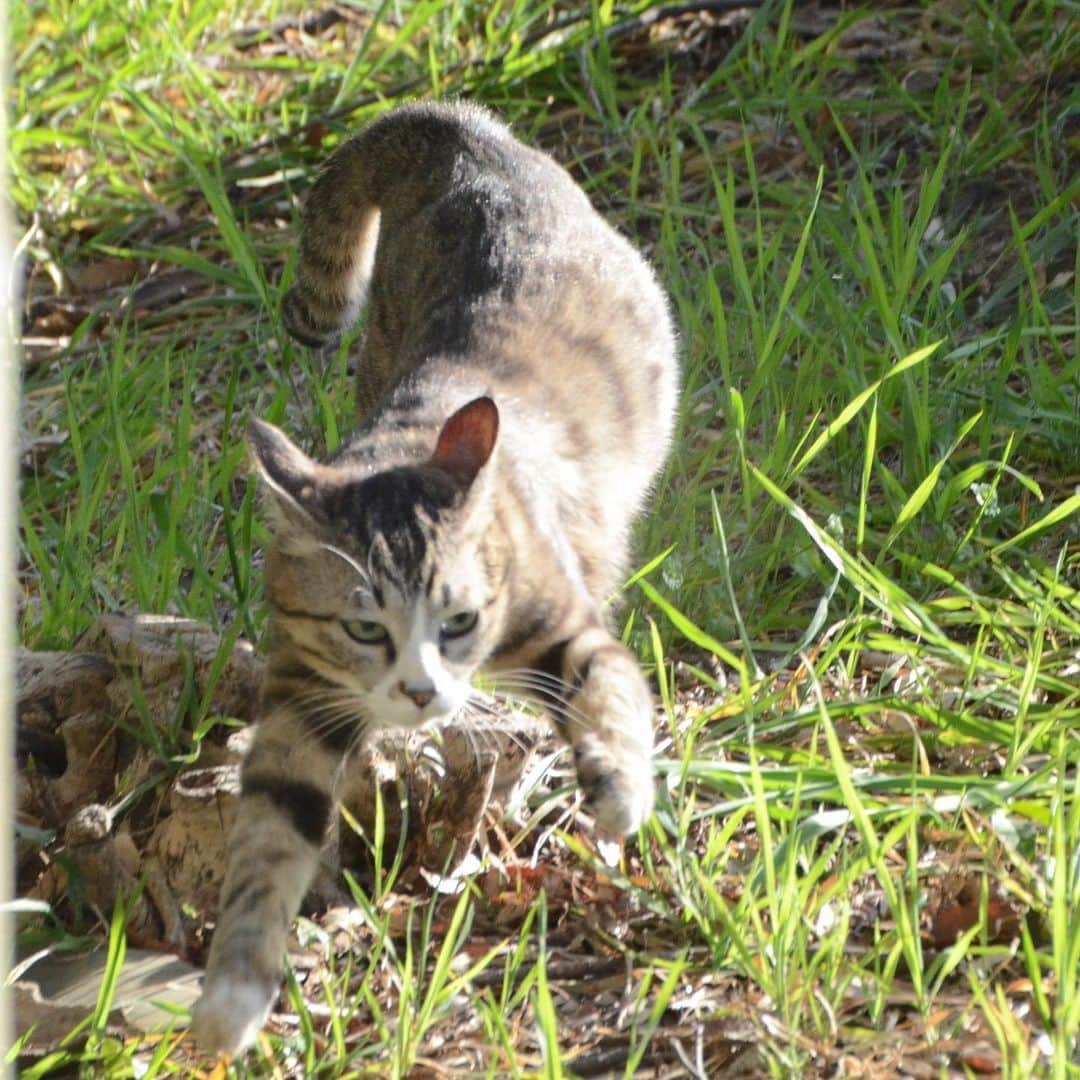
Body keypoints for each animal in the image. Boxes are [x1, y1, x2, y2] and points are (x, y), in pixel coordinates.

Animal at [186, 101, 673, 1054]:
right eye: (363, 628)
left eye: (458, 622)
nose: (418, 694)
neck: (403, 445)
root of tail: (467, 138)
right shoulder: (304, 695)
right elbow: (267, 837)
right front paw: (233, 993)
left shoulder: (558, 612)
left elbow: (604, 684)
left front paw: (619, 790)